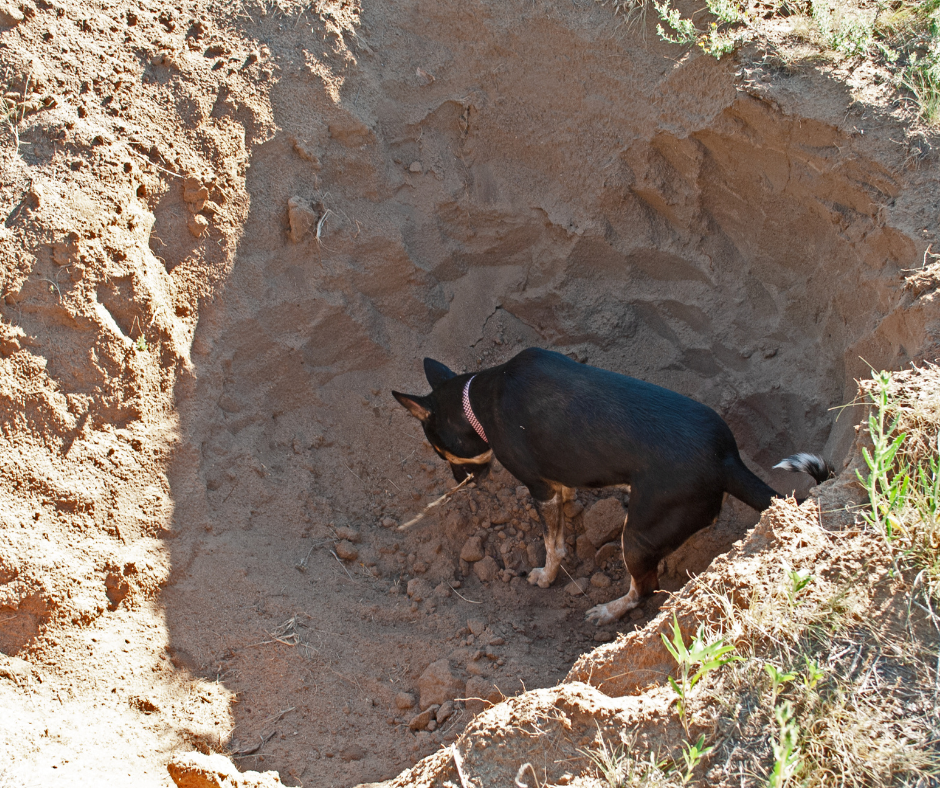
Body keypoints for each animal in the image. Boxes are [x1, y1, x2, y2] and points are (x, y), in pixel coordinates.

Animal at [392, 348, 832, 624]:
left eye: (441, 452)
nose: (460, 483)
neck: (479, 398)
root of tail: (725, 459)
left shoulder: (538, 489)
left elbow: (553, 545)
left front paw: (545, 577)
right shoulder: (555, 480)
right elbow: (565, 504)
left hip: (637, 536)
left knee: (646, 589)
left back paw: (609, 610)